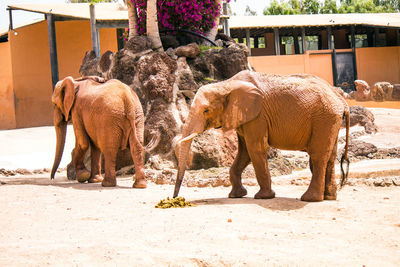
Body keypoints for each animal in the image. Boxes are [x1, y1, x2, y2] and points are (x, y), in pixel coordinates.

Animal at [173, 71, 348, 203]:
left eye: (206, 110)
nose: (175, 198)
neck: (227, 84)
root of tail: (340, 98)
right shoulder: (244, 117)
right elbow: (244, 152)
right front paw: (236, 196)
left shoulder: (258, 116)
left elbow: (255, 148)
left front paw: (263, 197)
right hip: (331, 120)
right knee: (330, 156)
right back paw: (329, 197)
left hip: (324, 118)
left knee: (318, 155)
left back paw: (309, 199)